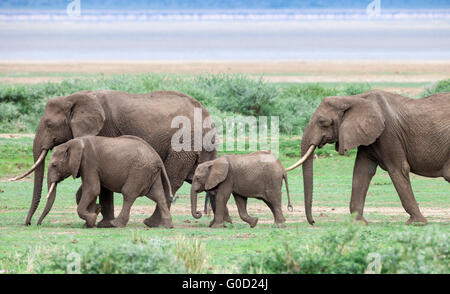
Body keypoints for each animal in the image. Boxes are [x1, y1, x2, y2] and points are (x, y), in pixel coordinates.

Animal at [37, 134, 174, 229]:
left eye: (54, 165)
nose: (38, 224)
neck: (73, 143)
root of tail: (157, 157)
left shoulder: (89, 162)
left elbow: (92, 189)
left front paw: (92, 219)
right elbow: (90, 191)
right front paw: (91, 220)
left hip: (139, 171)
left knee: (128, 194)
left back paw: (115, 224)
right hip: (150, 172)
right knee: (158, 195)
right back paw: (166, 226)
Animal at [286, 89, 448, 225]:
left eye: (322, 122)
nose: (313, 222)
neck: (354, 98)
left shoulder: (389, 133)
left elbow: (398, 169)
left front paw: (417, 223)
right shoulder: (367, 135)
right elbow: (362, 171)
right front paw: (358, 222)